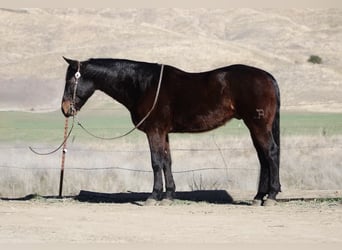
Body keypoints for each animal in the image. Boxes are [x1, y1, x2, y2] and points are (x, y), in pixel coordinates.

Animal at [61, 57, 280, 206]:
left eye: (71, 81)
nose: (65, 109)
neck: (142, 85)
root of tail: (268, 77)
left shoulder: (154, 131)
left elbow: (156, 162)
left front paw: (153, 196)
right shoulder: (164, 133)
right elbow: (167, 161)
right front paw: (168, 195)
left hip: (258, 126)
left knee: (271, 153)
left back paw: (271, 195)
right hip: (255, 127)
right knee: (263, 158)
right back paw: (258, 197)